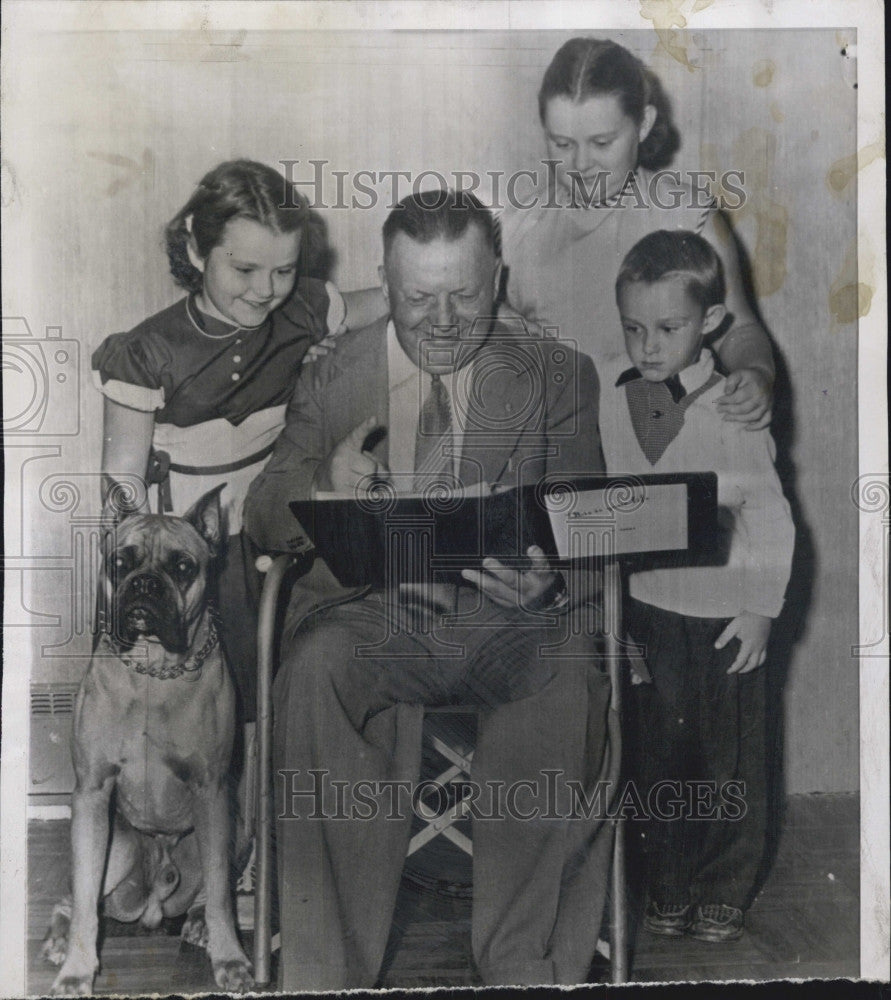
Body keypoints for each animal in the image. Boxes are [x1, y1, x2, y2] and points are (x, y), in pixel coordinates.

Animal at [42, 484, 254, 992]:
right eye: (121, 561)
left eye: (183, 567)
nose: (145, 585)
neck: (154, 671)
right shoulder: (92, 792)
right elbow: (84, 902)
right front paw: (77, 970)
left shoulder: (212, 792)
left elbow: (221, 894)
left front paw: (230, 958)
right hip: (115, 847)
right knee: (74, 898)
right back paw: (59, 940)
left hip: (239, 824)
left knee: (208, 891)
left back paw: (196, 922)